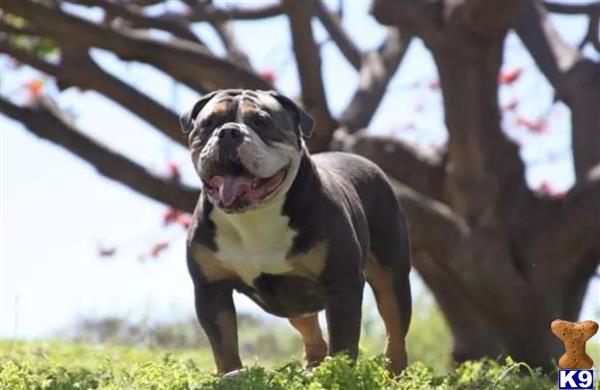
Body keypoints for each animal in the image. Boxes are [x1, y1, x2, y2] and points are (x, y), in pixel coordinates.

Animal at [180, 89, 410, 374]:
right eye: (210, 123)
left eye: (261, 122)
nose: (229, 132)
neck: (254, 215)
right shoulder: (211, 289)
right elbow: (223, 345)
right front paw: (232, 375)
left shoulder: (343, 284)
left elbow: (344, 343)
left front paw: (338, 374)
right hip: (291, 302)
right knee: (312, 333)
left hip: (391, 277)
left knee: (395, 330)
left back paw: (395, 374)